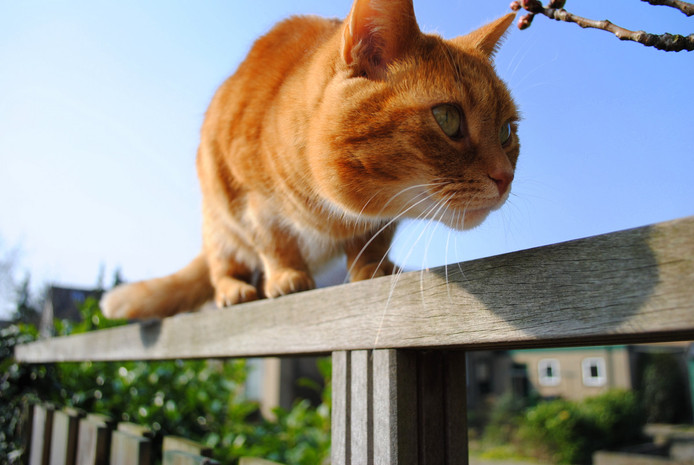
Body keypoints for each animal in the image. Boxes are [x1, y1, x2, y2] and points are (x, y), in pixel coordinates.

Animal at [100, 0, 520, 320]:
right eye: (447, 118)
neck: (333, 211)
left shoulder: (381, 221)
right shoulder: (252, 198)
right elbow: (274, 239)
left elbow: (372, 241)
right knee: (221, 264)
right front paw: (286, 275)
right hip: (217, 221)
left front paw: (373, 267)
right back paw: (234, 288)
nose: (505, 177)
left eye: (506, 132)